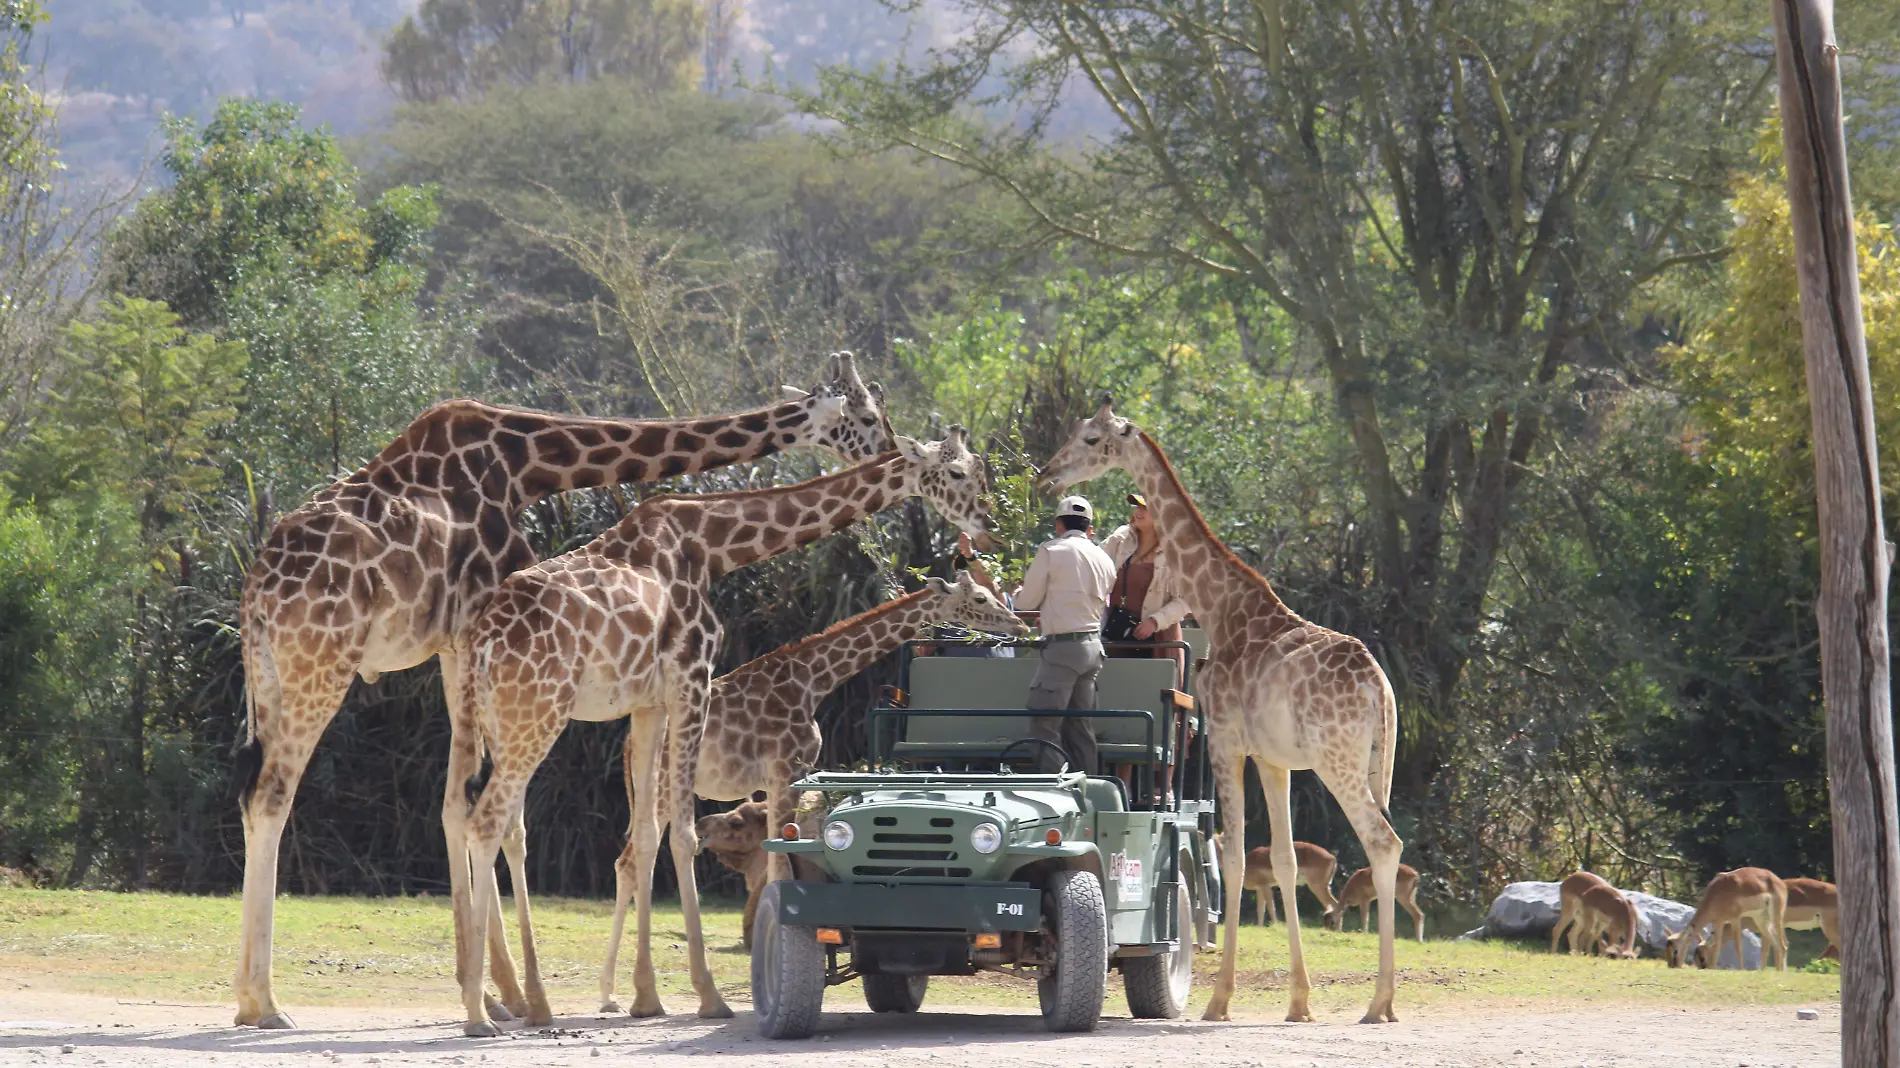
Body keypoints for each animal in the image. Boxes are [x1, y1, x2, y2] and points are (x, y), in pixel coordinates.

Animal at [228, 351, 889, 1026]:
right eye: (867, 415)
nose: (888, 448)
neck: (532, 466)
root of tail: (255, 589)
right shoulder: (475, 627)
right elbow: (500, 817)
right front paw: (515, 994)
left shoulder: (455, 644)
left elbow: (458, 802)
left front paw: (495, 991)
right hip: (323, 664)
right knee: (274, 795)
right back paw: (269, 1002)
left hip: (271, 677)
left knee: (254, 794)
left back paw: (250, 999)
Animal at [596, 570, 1033, 1003]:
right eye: (980, 598)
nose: (1020, 625)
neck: (813, 680)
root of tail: (627, 742)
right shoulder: (784, 770)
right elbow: (780, 864)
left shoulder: (787, 775)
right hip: (665, 785)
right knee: (632, 859)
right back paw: (622, 993)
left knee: (631, 860)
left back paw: (616, 992)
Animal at [1033, 399, 1406, 1026]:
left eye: (1089, 438)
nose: (1048, 474)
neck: (1223, 607)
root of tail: (1380, 689)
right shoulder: (1275, 761)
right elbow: (1283, 860)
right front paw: (1298, 1002)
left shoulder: (1228, 742)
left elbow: (1230, 859)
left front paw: (1218, 1000)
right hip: (1373, 761)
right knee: (1385, 843)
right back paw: (1381, 1000)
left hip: (1337, 761)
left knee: (1383, 841)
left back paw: (1379, 1003)